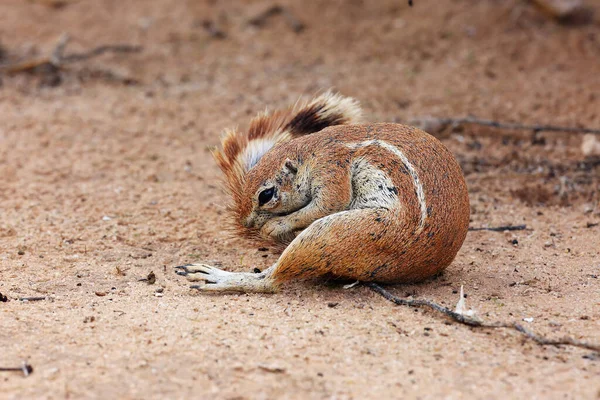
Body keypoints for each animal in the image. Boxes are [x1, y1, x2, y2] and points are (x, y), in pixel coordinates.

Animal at [176, 92, 472, 292]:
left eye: (266, 195)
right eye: (248, 175)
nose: (245, 224)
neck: (310, 150)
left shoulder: (330, 168)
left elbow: (327, 203)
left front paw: (275, 226)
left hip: (337, 232)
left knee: (271, 281)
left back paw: (218, 277)